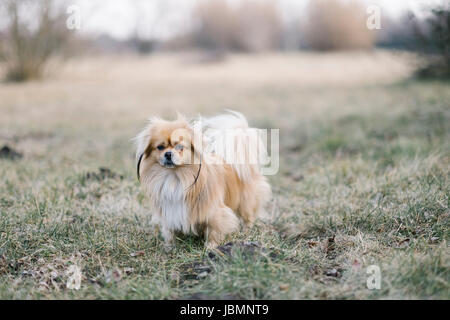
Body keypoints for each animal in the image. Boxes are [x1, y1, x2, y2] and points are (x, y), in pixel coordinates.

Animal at [134, 111, 270, 249]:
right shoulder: (170, 212)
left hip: (246, 202)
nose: (168, 154)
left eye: (179, 147)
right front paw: (170, 246)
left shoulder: (214, 211)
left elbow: (214, 229)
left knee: (248, 217)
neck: (175, 177)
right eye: (160, 147)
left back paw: (246, 231)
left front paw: (210, 246)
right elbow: (170, 231)